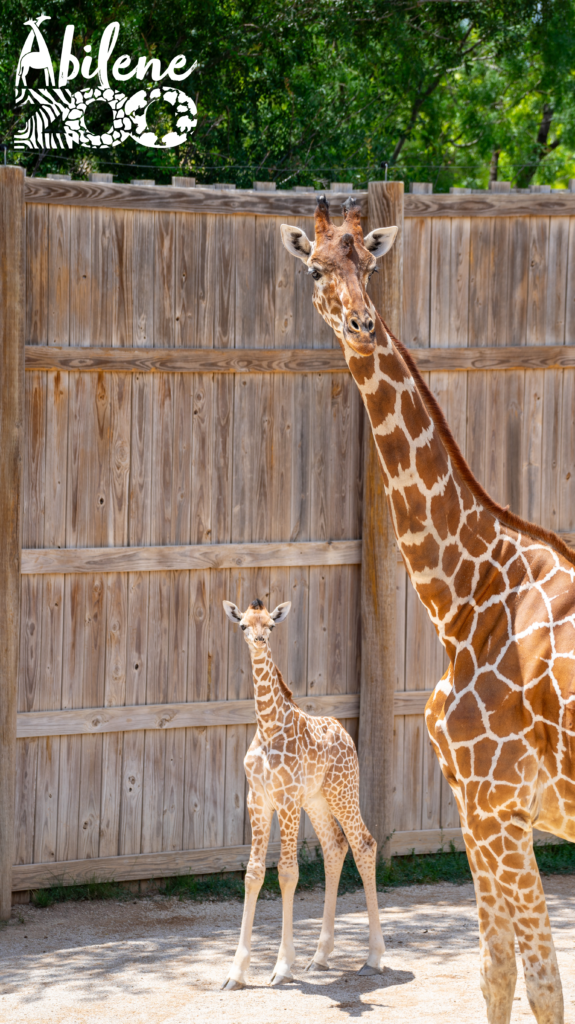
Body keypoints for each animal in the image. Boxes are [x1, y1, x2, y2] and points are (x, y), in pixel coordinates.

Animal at [222, 598, 382, 987]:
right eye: (243, 625)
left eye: (271, 626)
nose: (259, 641)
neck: (268, 727)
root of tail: (346, 734)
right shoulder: (258, 800)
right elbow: (253, 873)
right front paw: (237, 971)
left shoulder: (287, 799)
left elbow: (288, 872)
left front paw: (282, 966)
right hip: (317, 800)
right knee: (335, 847)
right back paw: (320, 956)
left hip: (343, 791)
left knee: (364, 843)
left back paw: (374, 957)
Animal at [280, 193, 568, 1024]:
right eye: (315, 268)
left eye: (368, 267)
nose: (360, 323)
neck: (465, 601)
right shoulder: (479, 813)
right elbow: (497, 975)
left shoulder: (497, 807)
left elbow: (539, 985)